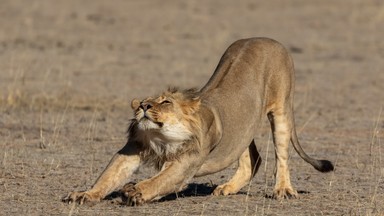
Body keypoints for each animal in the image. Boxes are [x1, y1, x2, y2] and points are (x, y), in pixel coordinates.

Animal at [62, 37, 332, 206]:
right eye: (142, 103)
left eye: (165, 101)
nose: (144, 107)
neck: (162, 139)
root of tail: (270, 40)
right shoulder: (133, 149)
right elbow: (109, 175)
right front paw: (85, 194)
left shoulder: (186, 161)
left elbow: (159, 181)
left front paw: (136, 191)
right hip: (244, 128)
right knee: (252, 159)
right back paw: (227, 188)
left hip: (282, 110)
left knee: (281, 155)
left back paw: (283, 191)